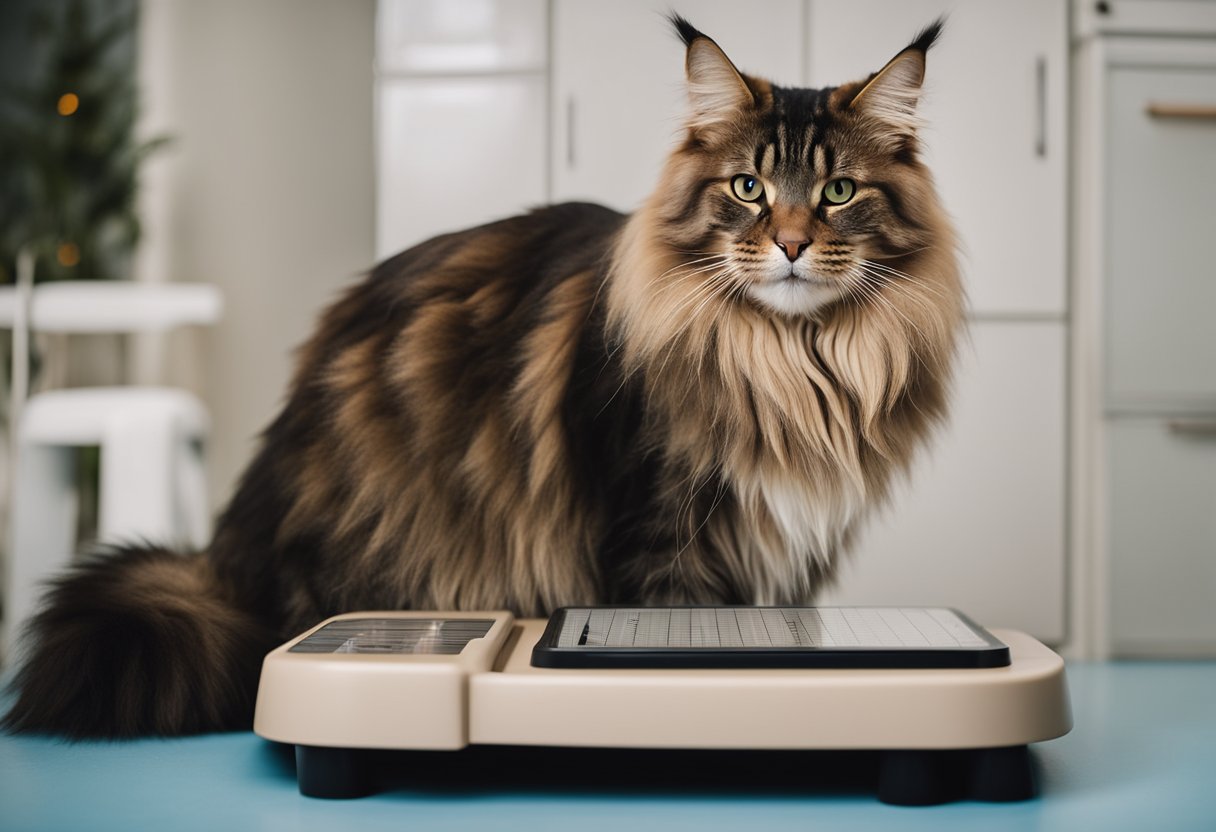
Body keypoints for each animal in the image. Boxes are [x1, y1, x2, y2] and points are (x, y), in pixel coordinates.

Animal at [4, 16, 963, 739]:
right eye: (749, 188)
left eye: (837, 191)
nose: (793, 244)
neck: (793, 364)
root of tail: (226, 557)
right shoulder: (659, 536)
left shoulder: (789, 552)